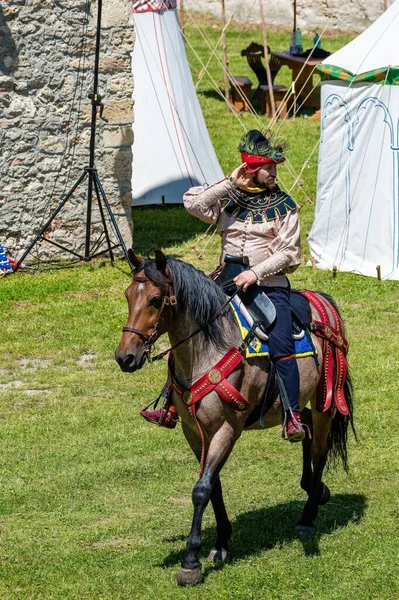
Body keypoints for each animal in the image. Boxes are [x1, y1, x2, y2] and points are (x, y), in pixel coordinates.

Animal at [115, 250, 356, 584]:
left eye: (154, 299)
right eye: (128, 296)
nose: (125, 357)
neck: (207, 349)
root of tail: (322, 301)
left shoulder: (227, 428)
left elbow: (202, 488)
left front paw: (191, 561)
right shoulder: (193, 431)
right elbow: (212, 484)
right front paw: (221, 541)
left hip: (325, 402)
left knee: (319, 450)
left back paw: (308, 516)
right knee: (304, 425)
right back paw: (314, 488)